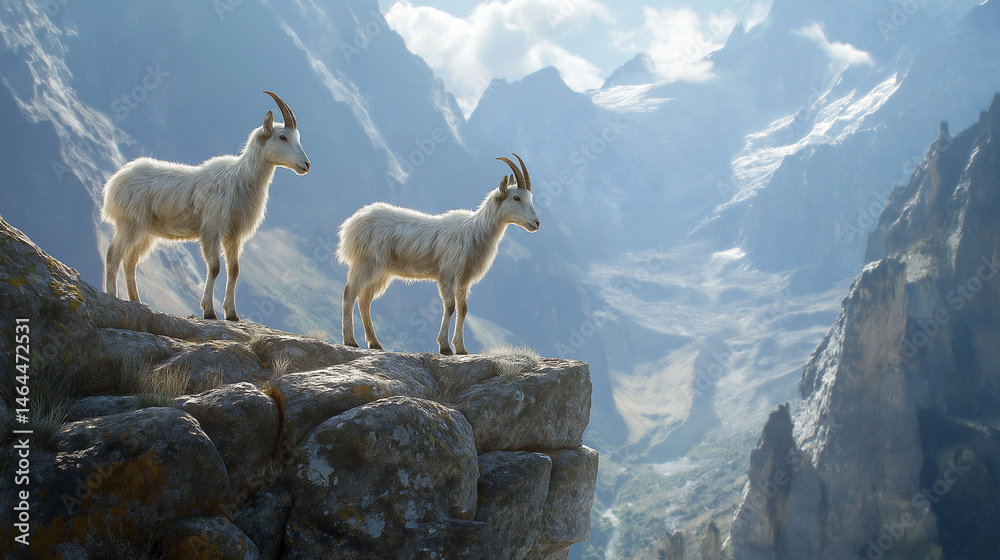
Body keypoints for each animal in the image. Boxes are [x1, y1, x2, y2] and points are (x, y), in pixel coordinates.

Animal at [101, 91, 310, 320]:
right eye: (282, 137)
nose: (306, 165)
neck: (239, 178)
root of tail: (114, 183)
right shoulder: (211, 229)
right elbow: (215, 267)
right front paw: (209, 311)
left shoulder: (233, 234)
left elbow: (234, 270)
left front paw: (232, 314)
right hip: (130, 223)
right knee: (113, 253)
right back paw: (112, 294)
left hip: (146, 232)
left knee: (130, 260)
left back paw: (136, 300)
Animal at [337, 154, 540, 354]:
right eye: (516, 198)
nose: (536, 223)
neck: (475, 230)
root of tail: (352, 224)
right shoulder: (448, 273)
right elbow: (450, 306)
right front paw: (444, 346)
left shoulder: (464, 278)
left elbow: (463, 309)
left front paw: (461, 348)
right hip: (368, 262)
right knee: (350, 292)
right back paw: (350, 340)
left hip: (382, 271)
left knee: (365, 299)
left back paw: (374, 343)